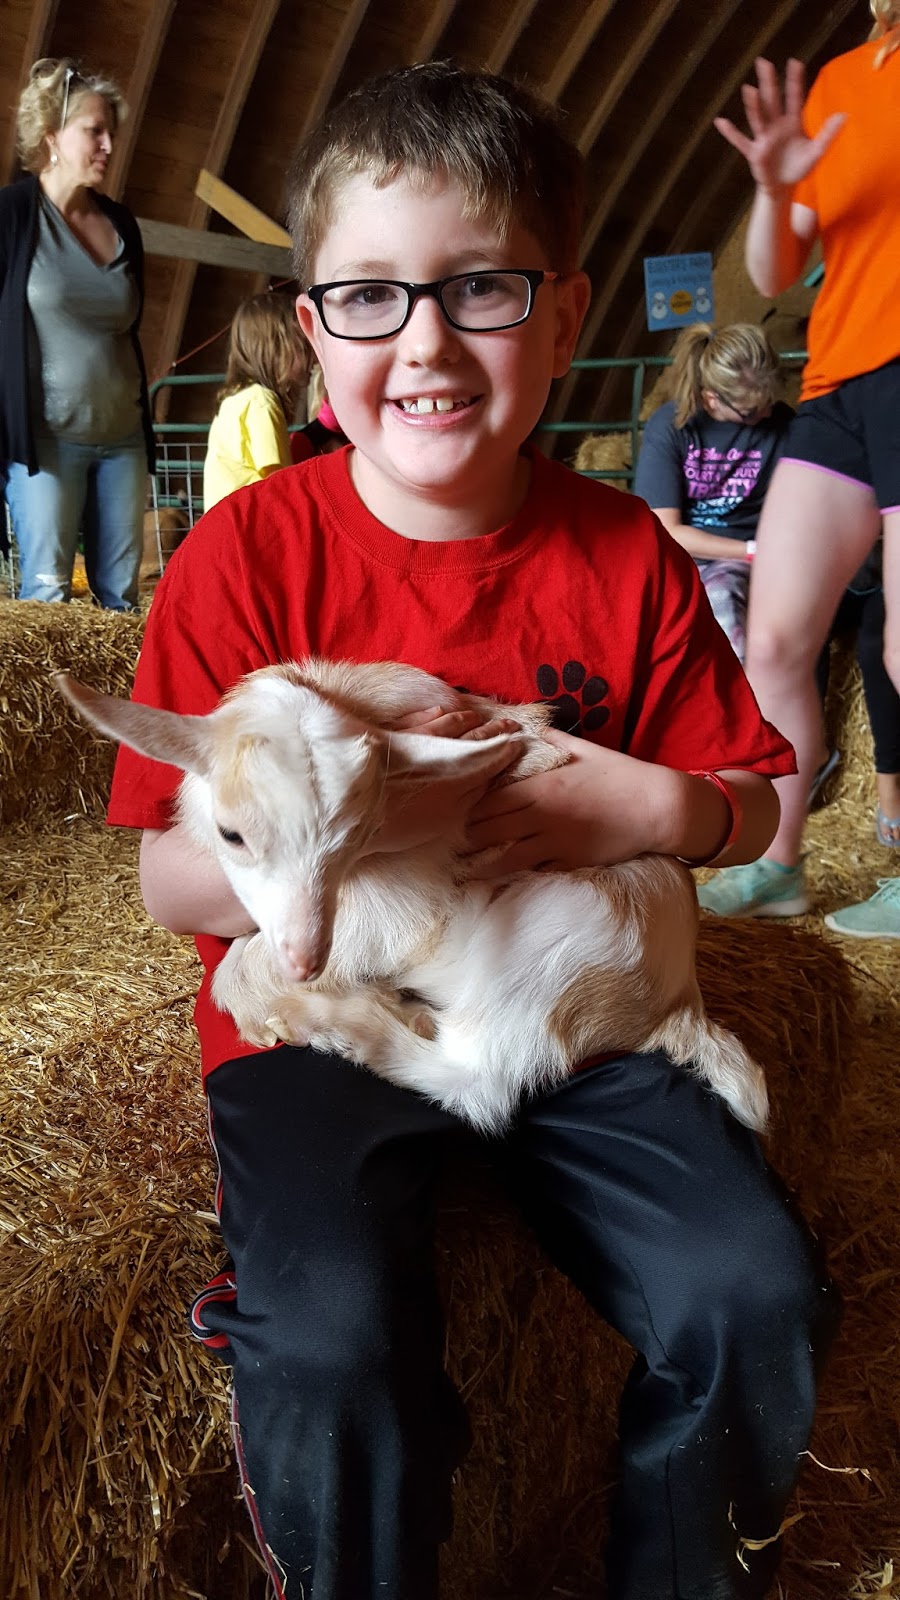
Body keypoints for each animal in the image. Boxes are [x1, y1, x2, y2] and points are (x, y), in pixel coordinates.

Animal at [56, 660, 769, 1136]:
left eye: (360, 833)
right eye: (233, 834)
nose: (304, 961)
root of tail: (680, 1001)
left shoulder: (392, 909)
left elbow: (235, 968)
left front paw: (274, 1014)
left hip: (551, 947)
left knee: (475, 1083)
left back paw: (348, 1026)